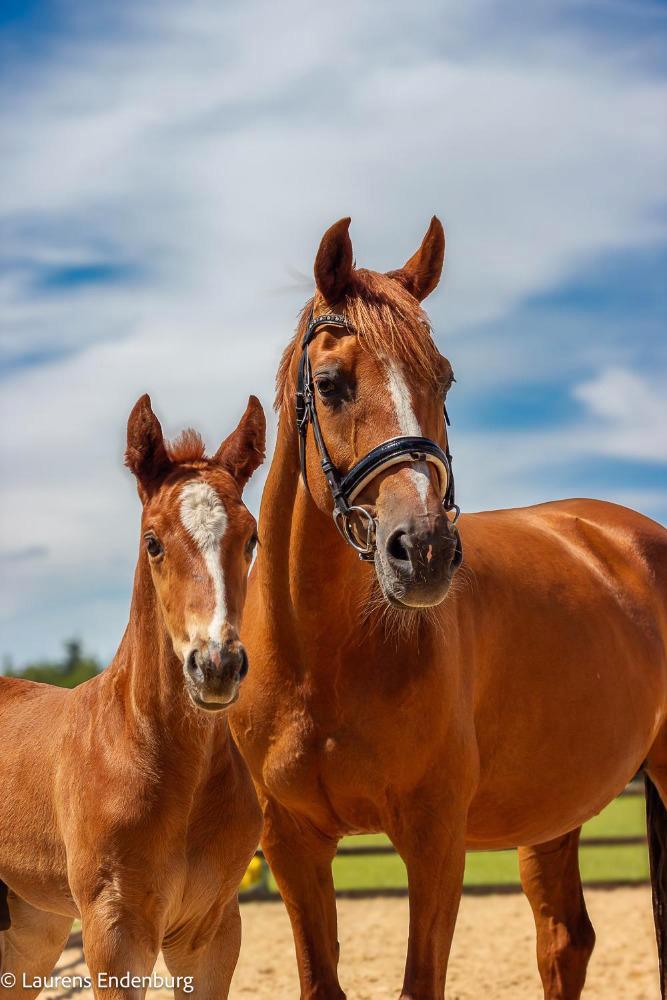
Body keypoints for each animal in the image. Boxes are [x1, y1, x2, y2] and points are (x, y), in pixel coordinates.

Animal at [0, 393, 266, 999]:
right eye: (153, 542)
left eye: (251, 538)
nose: (216, 666)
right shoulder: (115, 932)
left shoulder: (213, 934)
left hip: (32, 925)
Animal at [230, 217, 667, 999]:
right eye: (330, 385)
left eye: (443, 379)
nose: (425, 549)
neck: (321, 659)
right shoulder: (291, 844)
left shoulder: (435, 842)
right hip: (552, 808)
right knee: (564, 942)